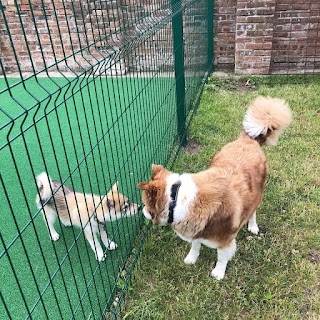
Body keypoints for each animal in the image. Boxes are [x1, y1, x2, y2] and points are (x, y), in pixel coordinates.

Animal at [138, 96, 292, 278]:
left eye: (146, 204)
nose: (140, 210)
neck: (177, 199)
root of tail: (247, 139)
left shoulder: (225, 240)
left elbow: (221, 257)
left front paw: (218, 273)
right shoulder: (197, 228)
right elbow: (195, 245)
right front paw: (191, 258)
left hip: (257, 193)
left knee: (253, 210)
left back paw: (253, 226)